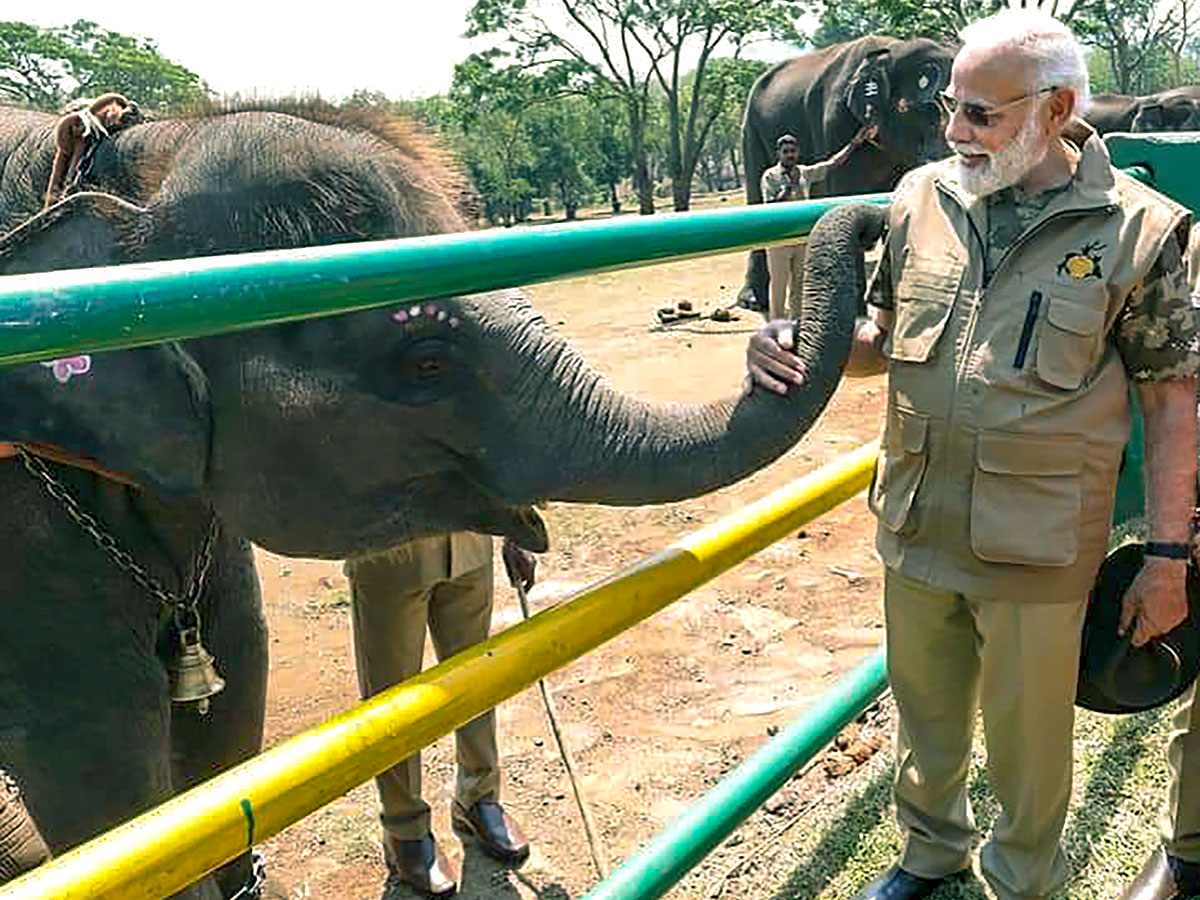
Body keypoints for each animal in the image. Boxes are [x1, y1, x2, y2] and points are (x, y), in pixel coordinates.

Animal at [734, 35, 950, 309]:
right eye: (924, 111)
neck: (892, 50)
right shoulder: (836, 124)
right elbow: (846, 198)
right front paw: (856, 308)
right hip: (750, 131)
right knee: (756, 198)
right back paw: (752, 301)